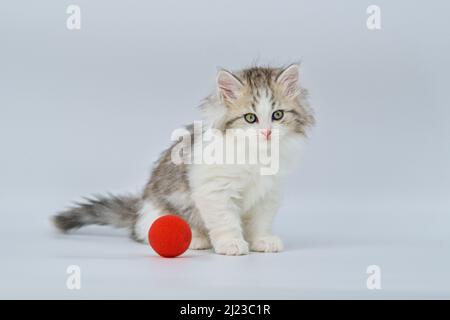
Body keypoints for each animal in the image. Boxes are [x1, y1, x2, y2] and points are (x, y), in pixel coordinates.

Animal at [53, 63, 312, 256]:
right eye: (250, 118)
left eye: (277, 115)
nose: (267, 133)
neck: (257, 155)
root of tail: (138, 210)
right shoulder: (214, 189)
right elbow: (226, 220)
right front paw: (231, 243)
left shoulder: (269, 193)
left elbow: (260, 221)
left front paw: (262, 240)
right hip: (161, 211)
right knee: (144, 231)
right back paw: (196, 238)